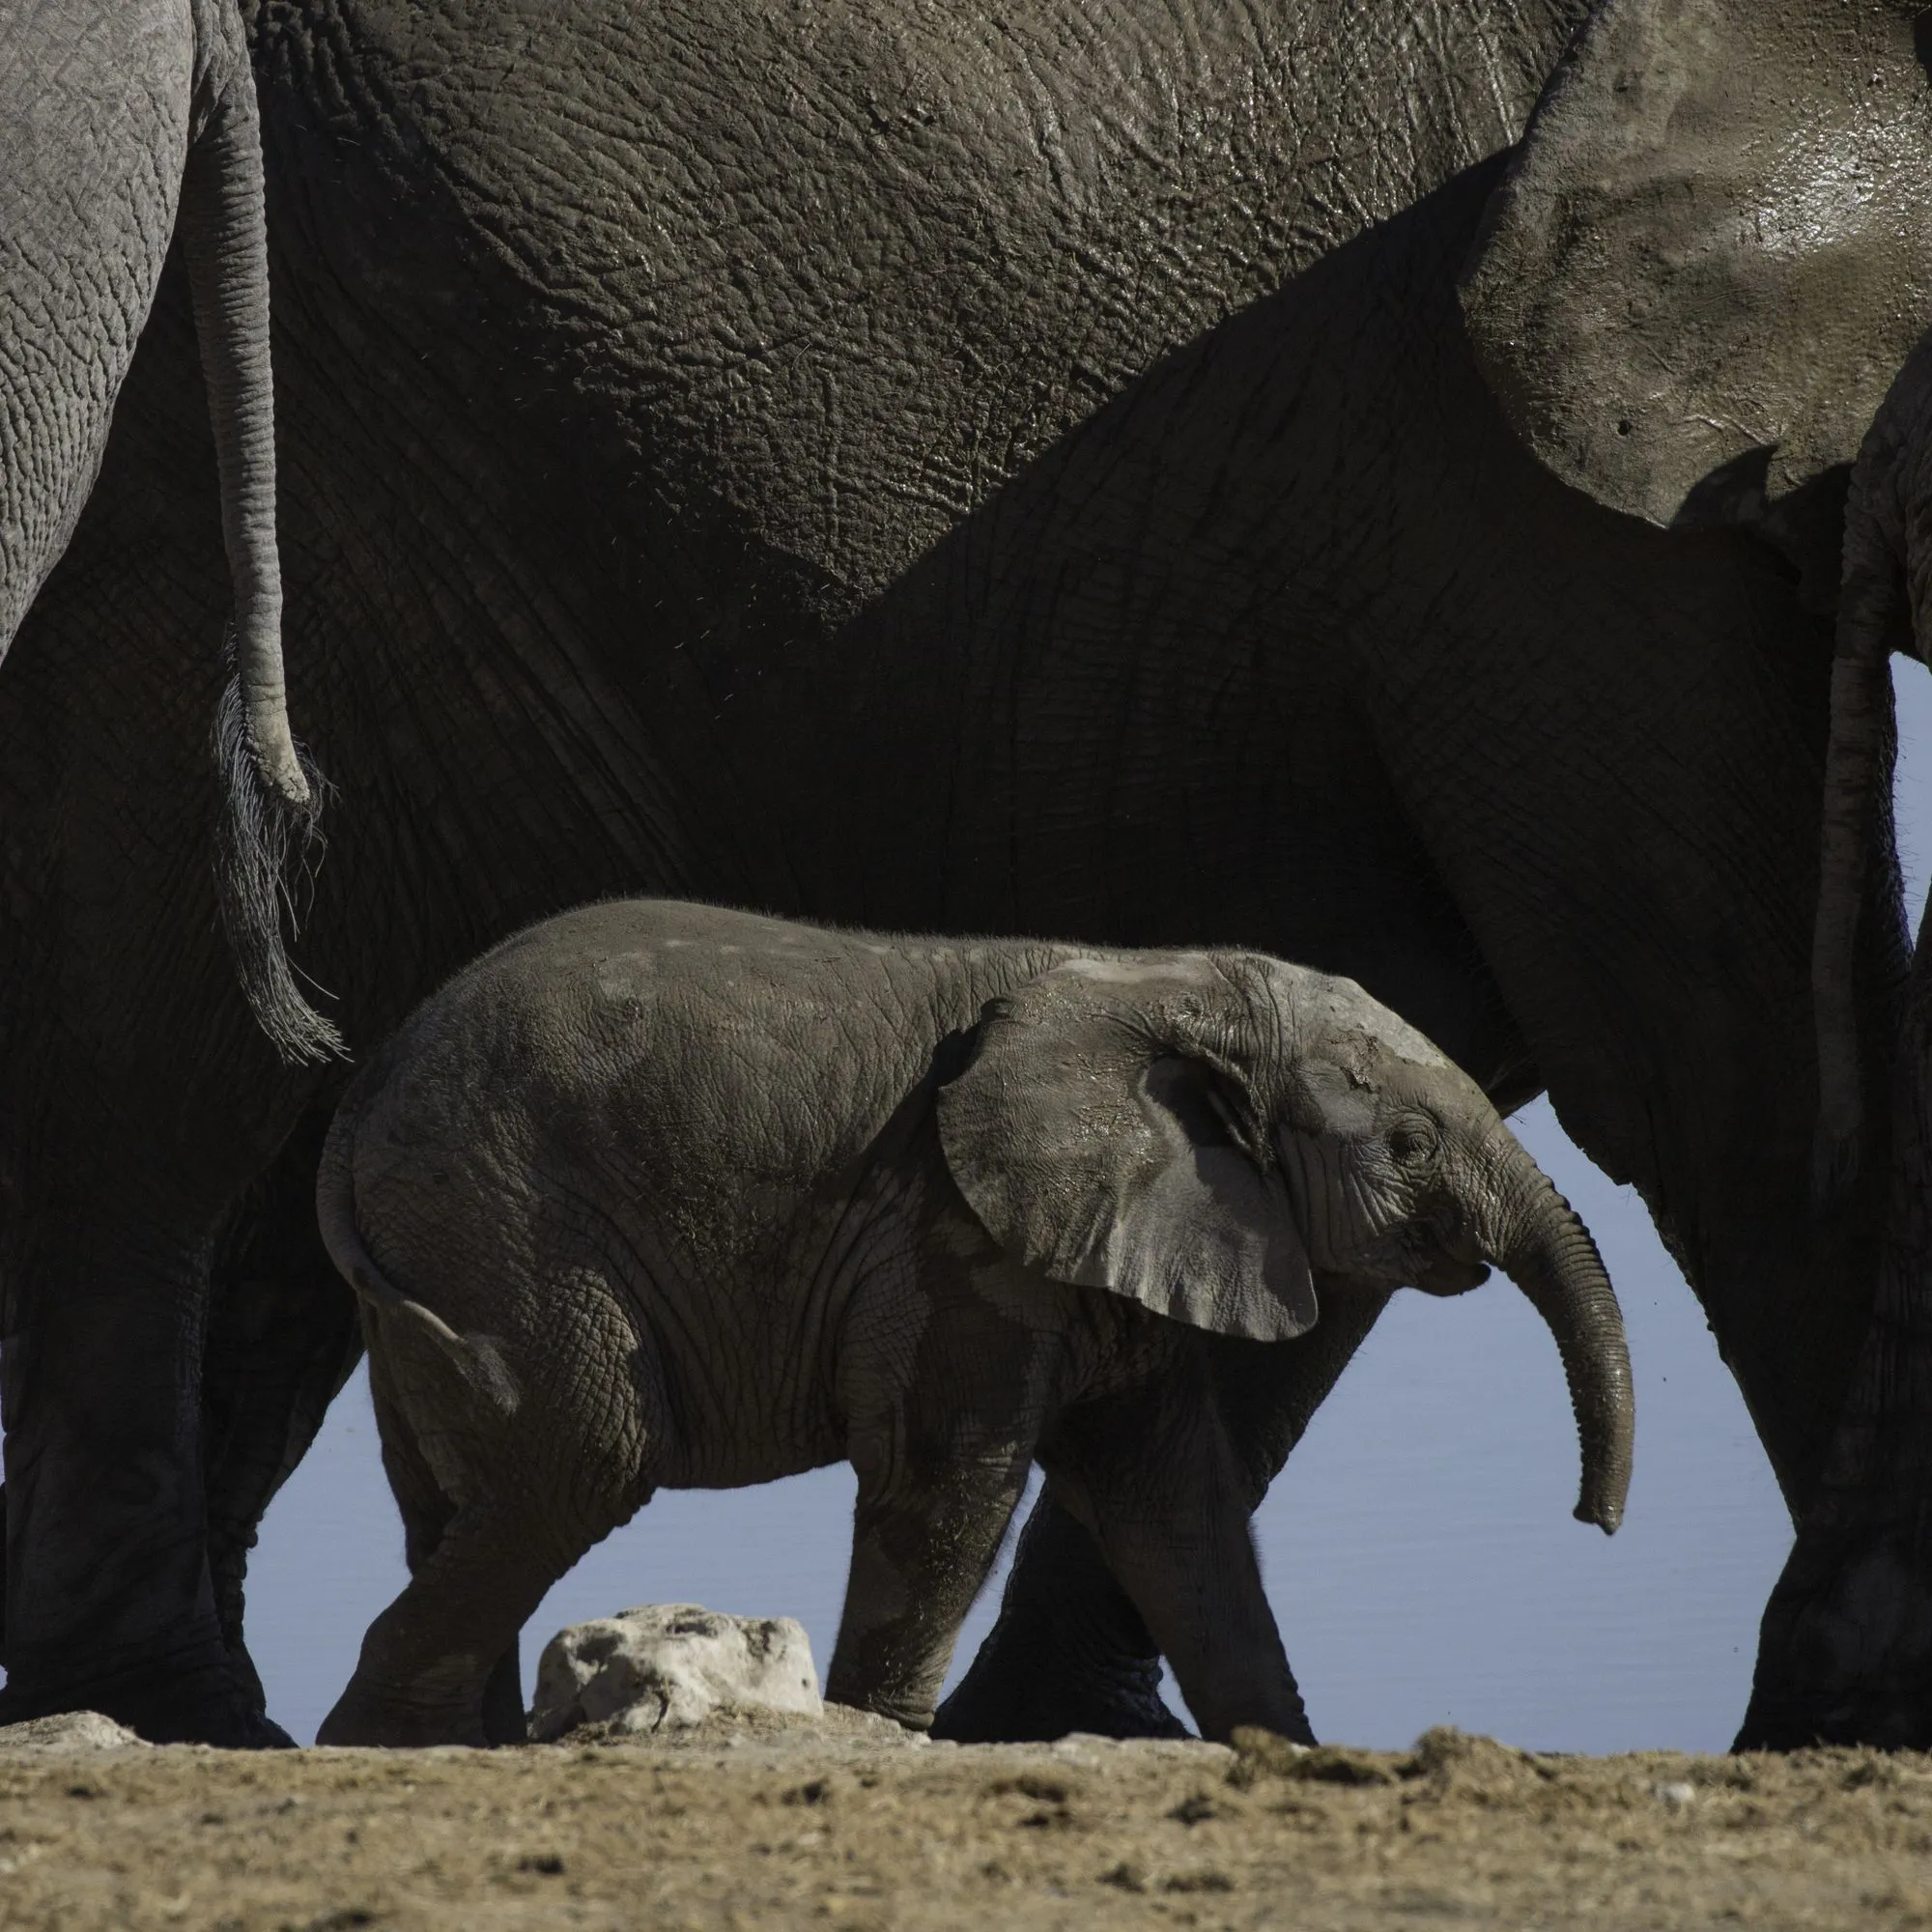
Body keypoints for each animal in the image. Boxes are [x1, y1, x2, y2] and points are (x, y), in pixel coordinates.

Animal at [310, 899, 1632, 1748]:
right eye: (1407, 1144)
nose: (1595, 1520)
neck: (1162, 980)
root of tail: (362, 1086)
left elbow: (1177, 1506)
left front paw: (1287, 1749)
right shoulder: (952, 1229)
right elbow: (948, 1481)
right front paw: (884, 1736)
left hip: (442, 1236)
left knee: (459, 1495)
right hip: (500, 1217)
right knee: (588, 1456)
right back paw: (382, 1741)